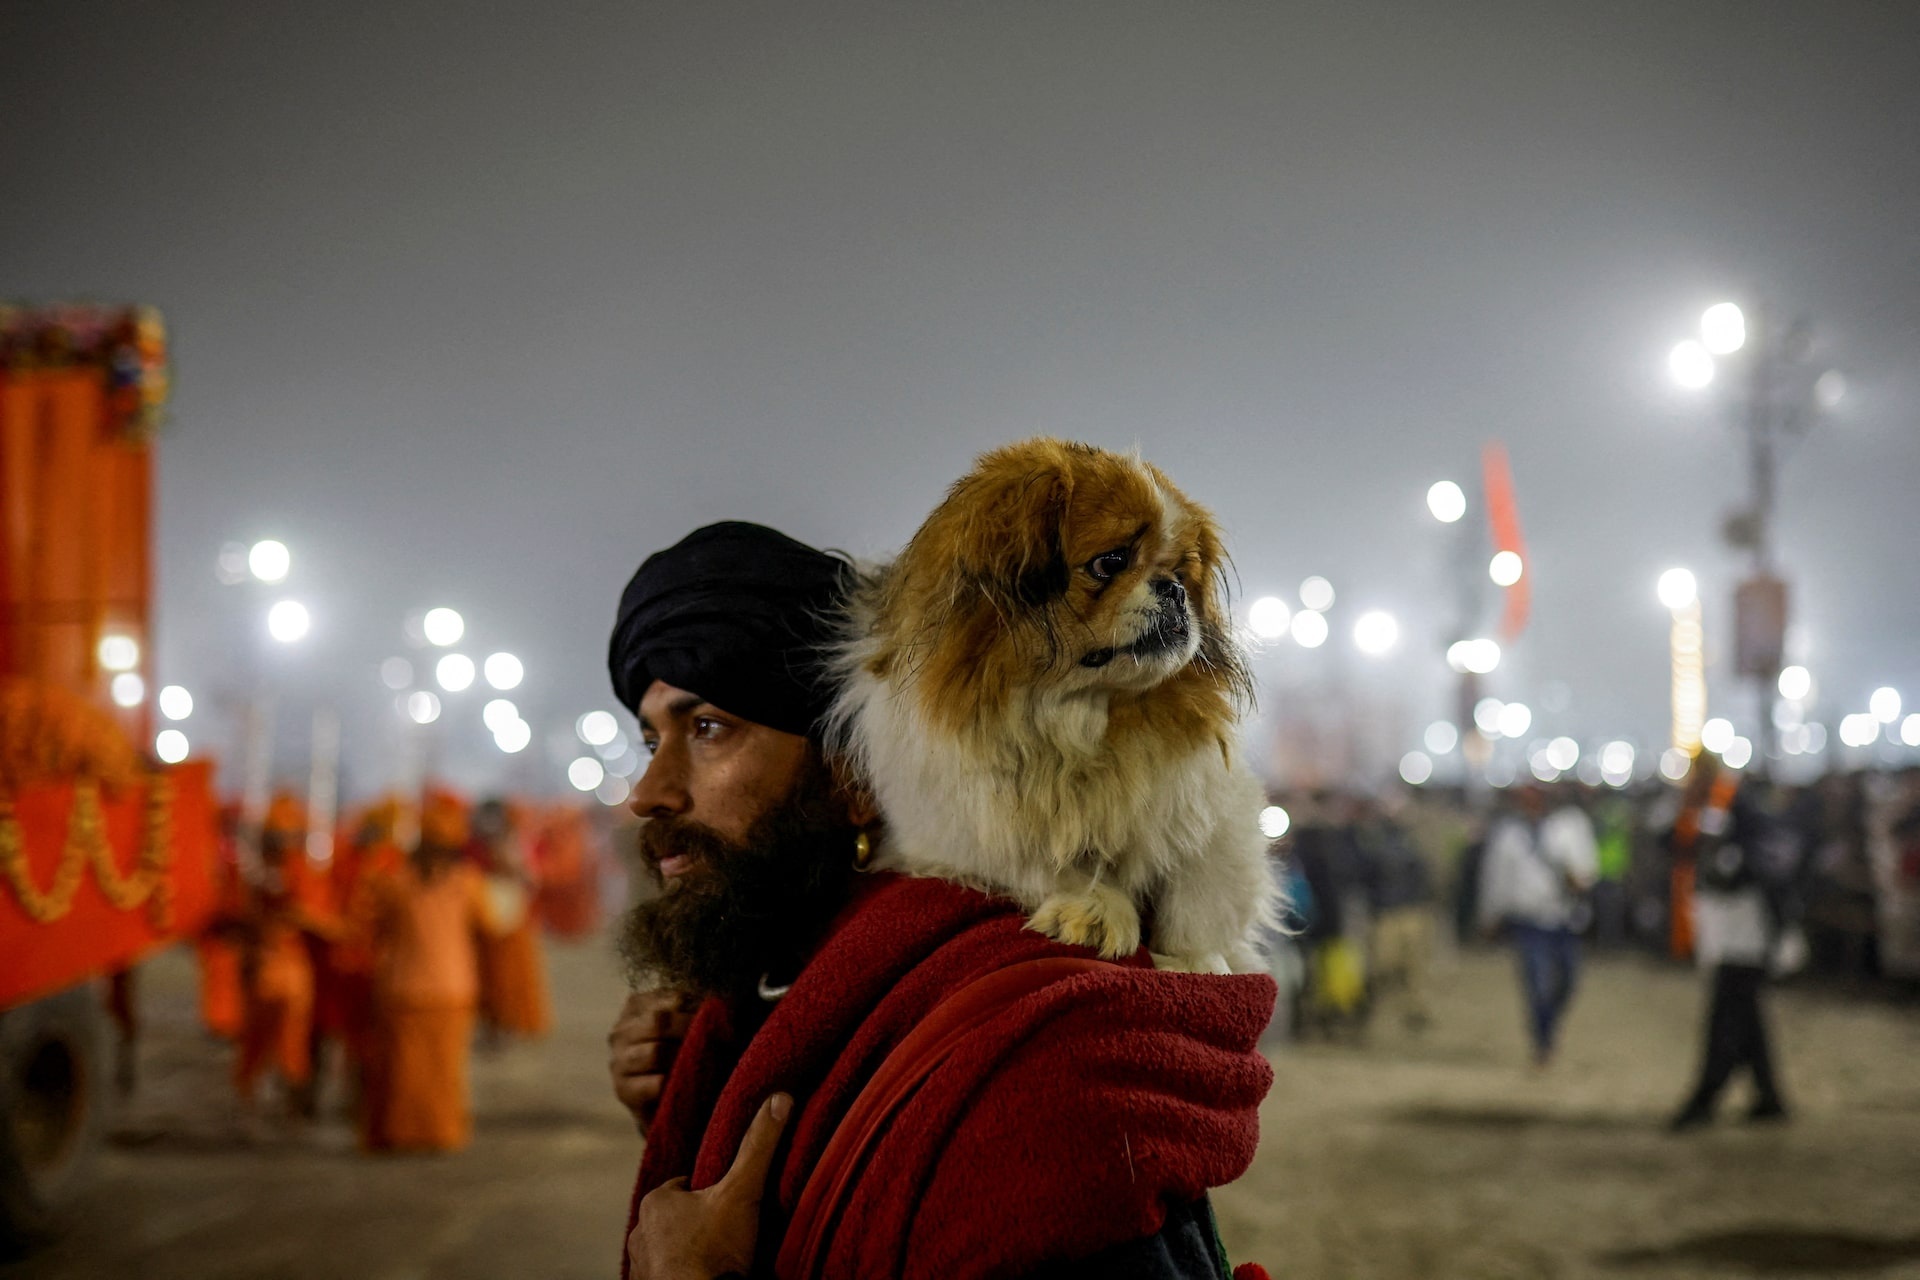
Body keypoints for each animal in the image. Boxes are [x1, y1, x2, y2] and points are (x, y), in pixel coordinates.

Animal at [837, 435, 1274, 974]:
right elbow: (1042, 862)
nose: (1172, 589)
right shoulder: (968, 826)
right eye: (1110, 562)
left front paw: (1195, 962)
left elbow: (1200, 893)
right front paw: (1096, 908)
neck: (1078, 714)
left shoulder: (1218, 812)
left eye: (1180, 574)